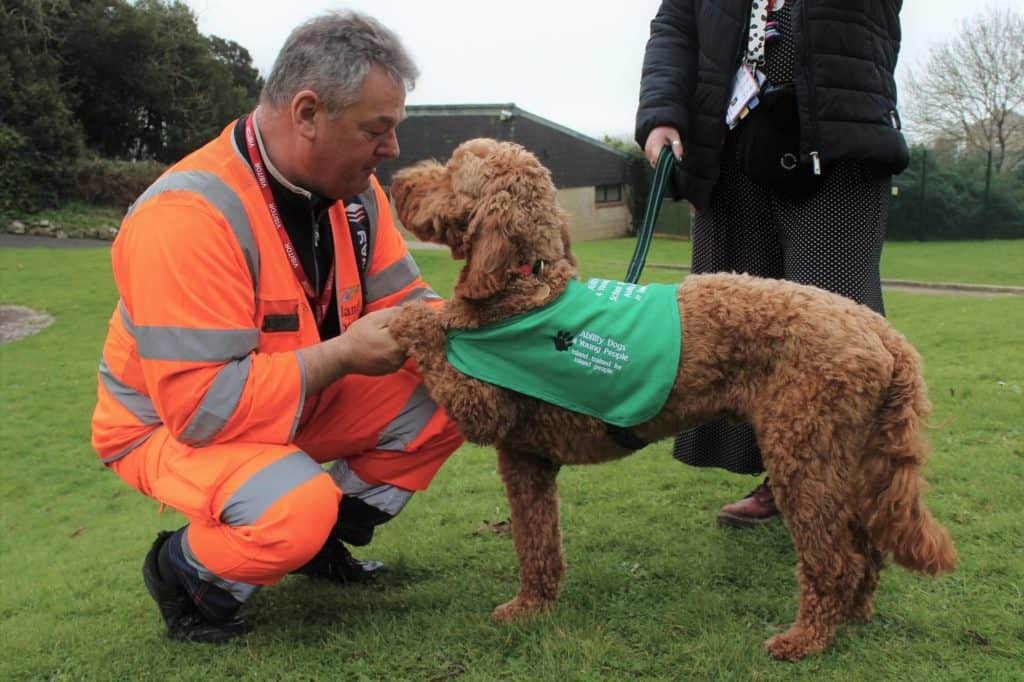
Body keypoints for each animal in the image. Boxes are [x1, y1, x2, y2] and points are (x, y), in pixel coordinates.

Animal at [387, 138, 954, 659]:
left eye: (451, 173)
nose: (397, 181)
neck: (528, 285)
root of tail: (881, 332)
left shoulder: (482, 408)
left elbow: (430, 336)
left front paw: (409, 317)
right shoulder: (527, 459)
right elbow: (536, 543)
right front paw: (533, 606)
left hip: (803, 450)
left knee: (837, 558)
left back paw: (806, 638)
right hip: (845, 453)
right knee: (867, 548)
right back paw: (853, 615)